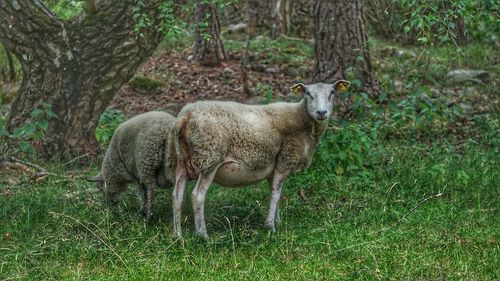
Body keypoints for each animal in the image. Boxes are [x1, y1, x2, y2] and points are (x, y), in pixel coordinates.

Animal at [172, 79, 352, 236]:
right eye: (308, 93)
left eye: (332, 93)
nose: (321, 113)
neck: (304, 122)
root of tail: (186, 116)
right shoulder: (285, 159)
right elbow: (275, 195)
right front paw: (270, 227)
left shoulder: (274, 164)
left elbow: (275, 192)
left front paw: (277, 221)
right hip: (210, 157)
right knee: (197, 196)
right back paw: (203, 235)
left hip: (183, 159)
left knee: (177, 196)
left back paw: (178, 236)